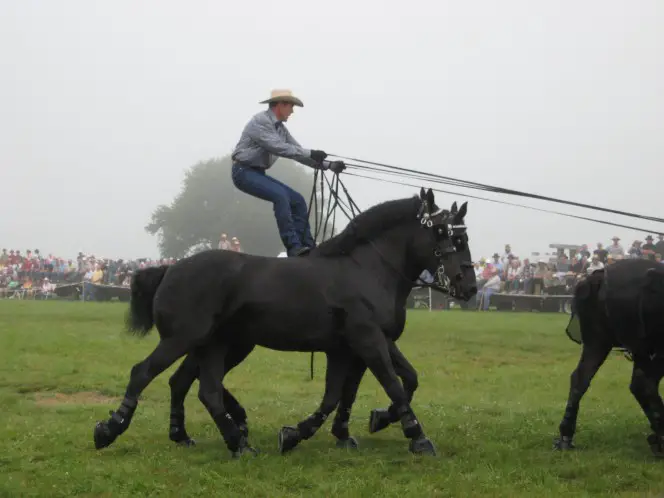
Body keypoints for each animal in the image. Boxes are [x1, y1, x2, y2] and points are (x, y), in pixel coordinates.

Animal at [92, 188, 478, 460]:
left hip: (216, 344)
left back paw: (220, 438)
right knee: (145, 373)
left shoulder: (357, 347)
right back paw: (111, 429)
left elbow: (355, 391)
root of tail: (170, 268)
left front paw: (321, 431)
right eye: (445, 233)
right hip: (185, 339)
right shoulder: (367, 341)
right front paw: (418, 437)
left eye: (463, 236)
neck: (367, 269)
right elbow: (392, 386)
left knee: (198, 386)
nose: (469, 287)